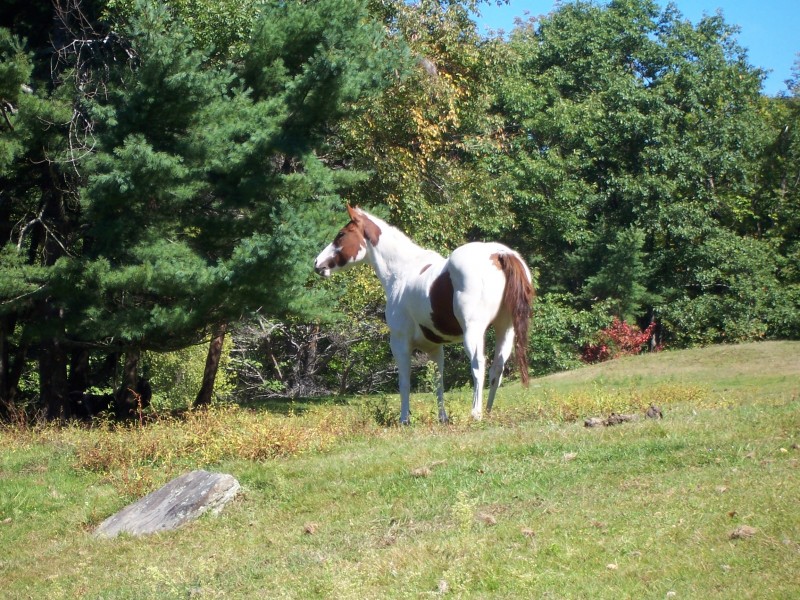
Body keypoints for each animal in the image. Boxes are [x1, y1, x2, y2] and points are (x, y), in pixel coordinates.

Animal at [314, 205, 534, 424]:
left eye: (341, 234)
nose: (317, 263)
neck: (401, 272)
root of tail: (499, 254)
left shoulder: (400, 343)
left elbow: (404, 382)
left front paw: (404, 419)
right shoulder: (435, 348)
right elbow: (438, 382)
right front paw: (442, 418)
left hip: (474, 331)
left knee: (479, 365)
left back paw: (476, 414)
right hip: (505, 328)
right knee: (497, 368)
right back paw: (487, 412)